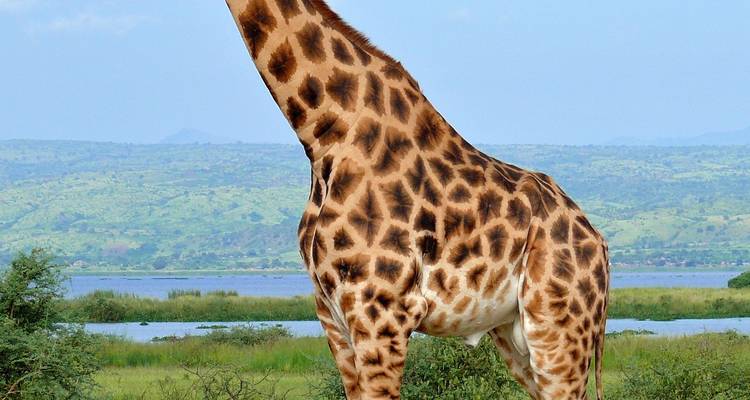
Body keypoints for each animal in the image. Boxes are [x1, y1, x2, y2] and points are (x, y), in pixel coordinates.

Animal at [224, 1, 610, 399]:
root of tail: (600, 245)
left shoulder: (382, 311)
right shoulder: (331, 315)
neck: (323, 133)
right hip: (516, 334)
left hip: (558, 326)